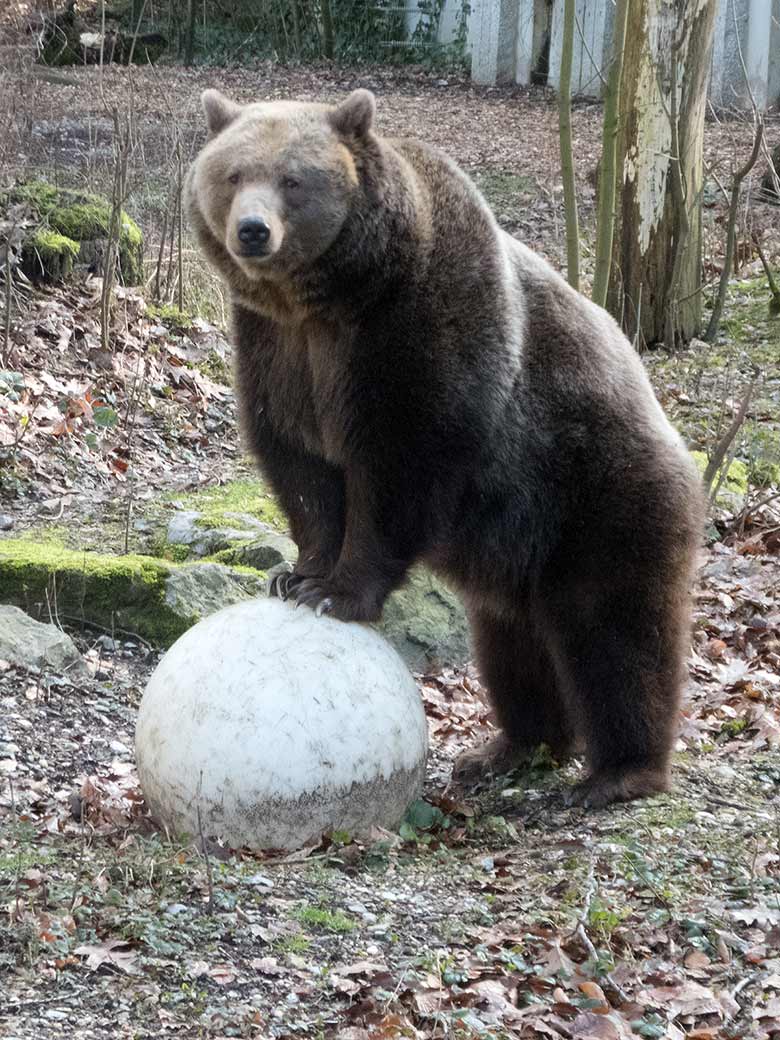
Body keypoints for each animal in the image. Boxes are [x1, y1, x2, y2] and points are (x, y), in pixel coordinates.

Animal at [186, 87, 707, 802]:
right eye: (234, 174)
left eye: (293, 180)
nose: (253, 231)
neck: (333, 296)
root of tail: (681, 447)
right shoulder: (276, 348)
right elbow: (301, 463)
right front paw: (298, 573)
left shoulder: (418, 329)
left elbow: (401, 464)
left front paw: (338, 593)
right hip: (518, 551)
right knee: (513, 647)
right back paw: (508, 747)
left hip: (601, 493)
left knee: (616, 633)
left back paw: (619, 772)